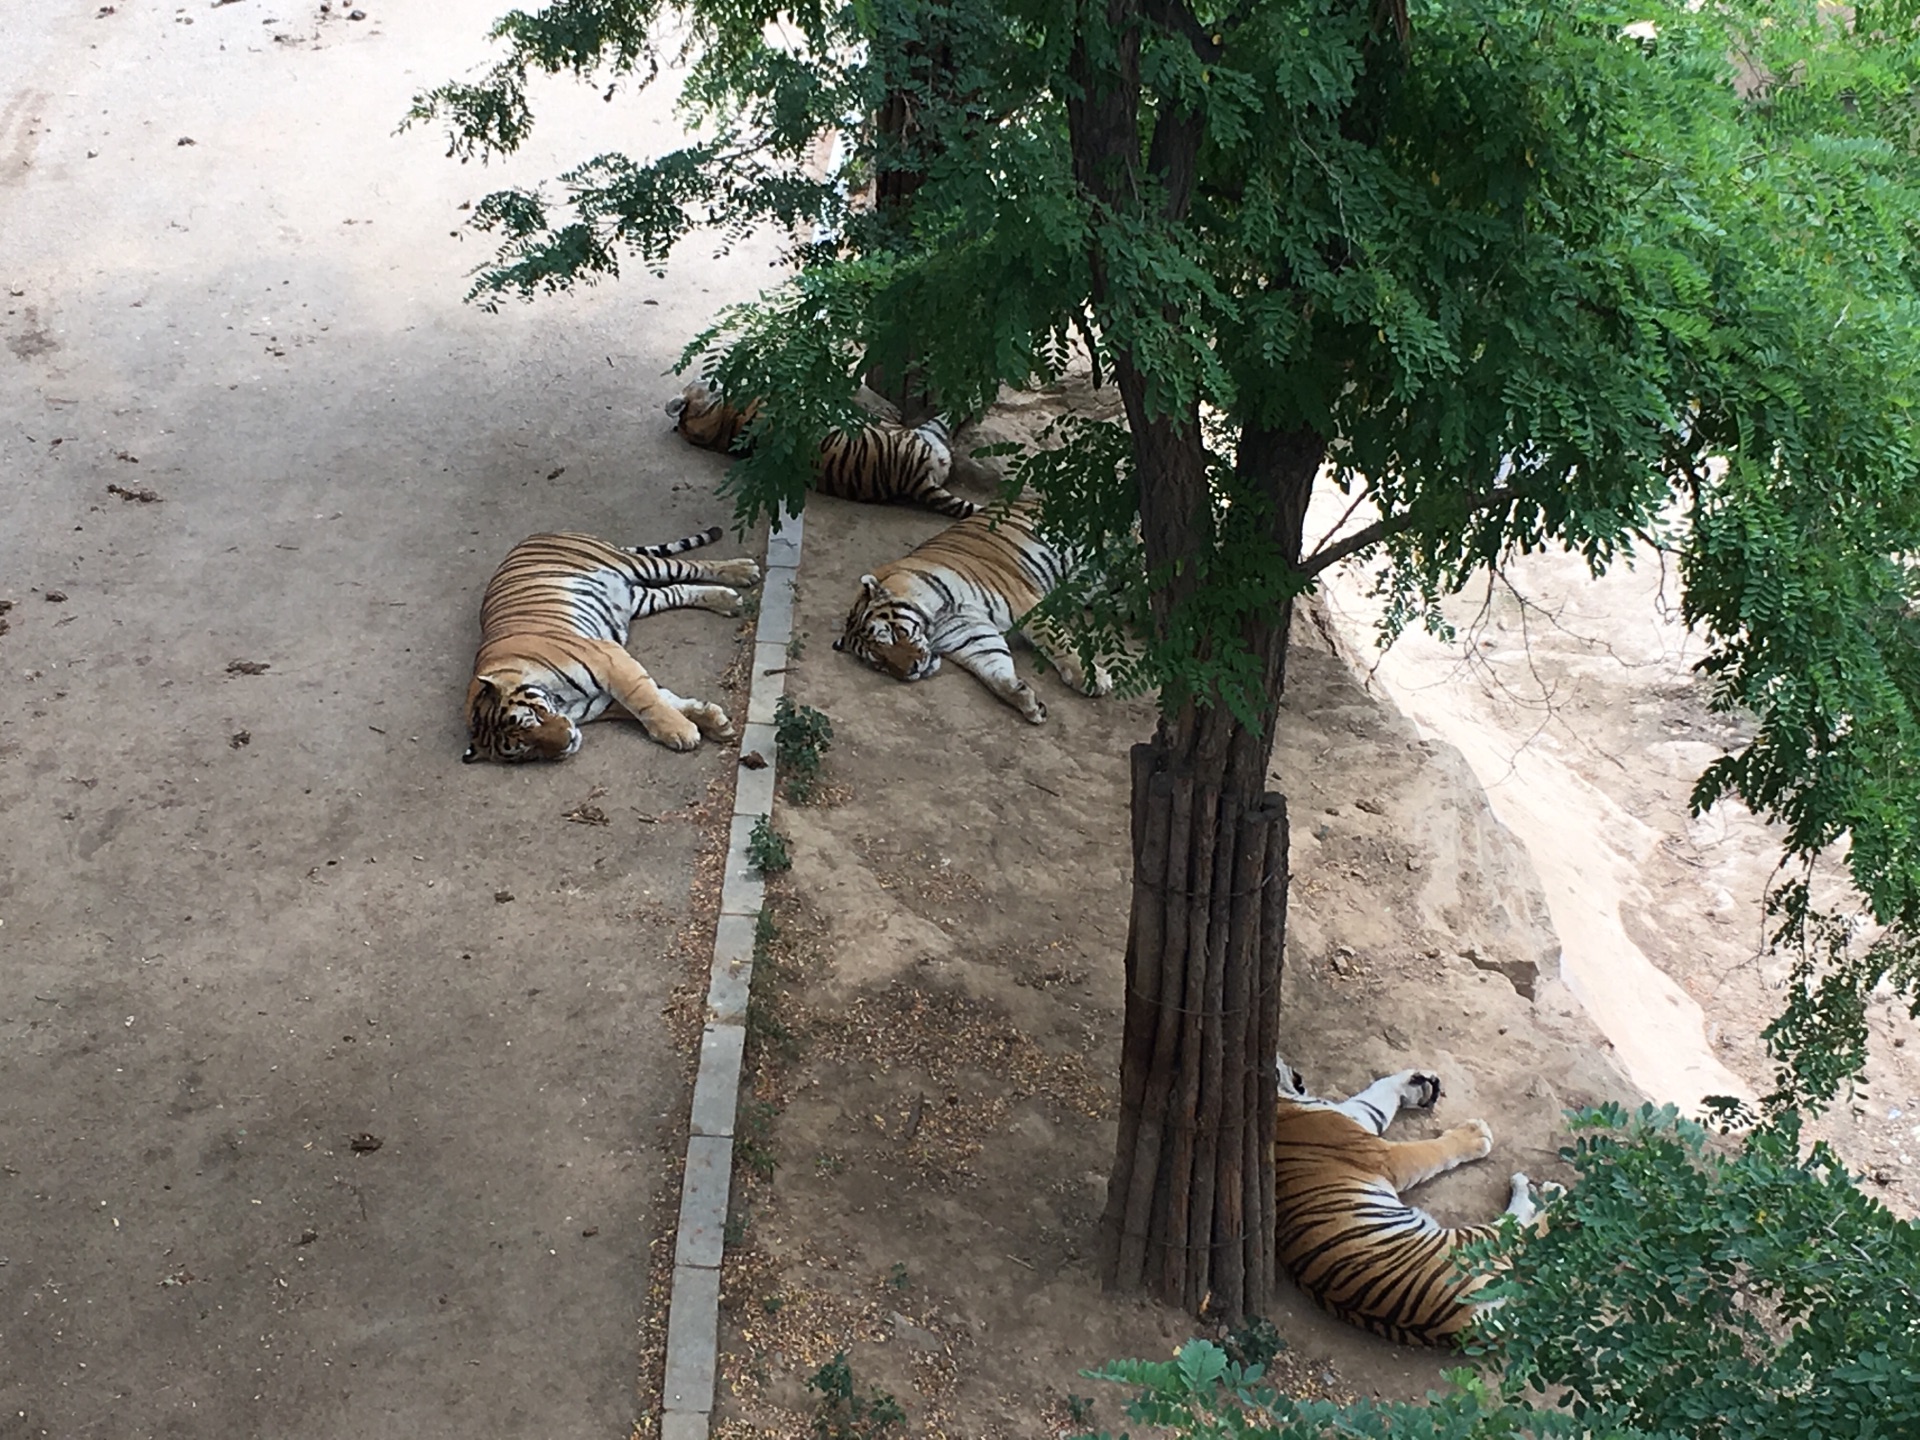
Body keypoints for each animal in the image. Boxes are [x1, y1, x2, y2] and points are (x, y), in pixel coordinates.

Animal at [460, 526, 760, 760]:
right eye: (526, 749)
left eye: (532, 718)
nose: (567, 741)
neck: (561, 701)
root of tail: (539, 533)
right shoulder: (603, 699)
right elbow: (660, 699)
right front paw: (711, 721)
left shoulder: (608, 657)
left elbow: (645, 701)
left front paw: (681, 731)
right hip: (637, 598)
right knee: (676, 590)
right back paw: (726, 600)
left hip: (633, 564)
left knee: (691, 567)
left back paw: (742, 571)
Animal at [829, 503, 1113, 725]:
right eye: (880, 662)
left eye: (895, 634)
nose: (911, 671)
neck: (936, 620)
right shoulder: (972, 637)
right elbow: (995, 670)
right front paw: (1024, 698)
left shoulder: (1020, 601)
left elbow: (1055, 641)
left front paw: (1091, 678)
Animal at [1267, 1059, 1551, 1351]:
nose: (1287, 1063)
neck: (1284, 1101)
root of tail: (1467, 1329)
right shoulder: (1387, 1156)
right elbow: (1432, 1151)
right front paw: (1475, 1135)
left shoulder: (1357, 1114)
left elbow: (1377, 1095)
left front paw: (1413, 1081)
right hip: (1467, 1246)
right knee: (1517, 1233)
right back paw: (1549, 1193)